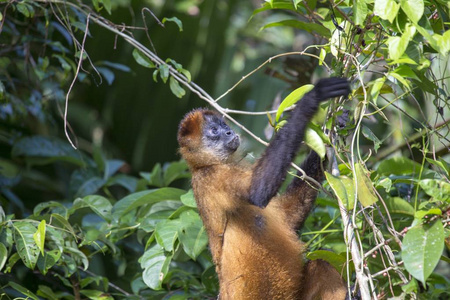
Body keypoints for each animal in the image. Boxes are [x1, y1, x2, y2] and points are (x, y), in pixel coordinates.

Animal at [178, 78, 352, 300]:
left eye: (224, 125)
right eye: (214, 131)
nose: (228, 131)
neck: (205, 165)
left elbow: (289, 217)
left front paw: (338, 123)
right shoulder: (212, 177)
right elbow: (258, 190)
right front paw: (313, 98)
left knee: (322, 263)